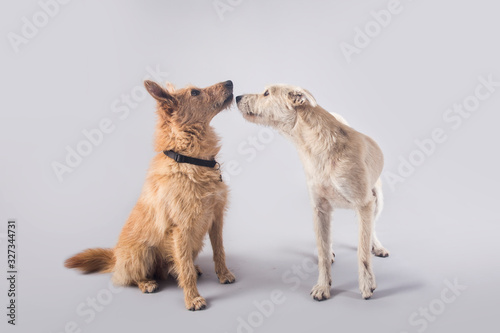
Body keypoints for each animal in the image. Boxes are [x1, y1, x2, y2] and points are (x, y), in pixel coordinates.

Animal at [65, 79, 235, 310]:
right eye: (195, 92)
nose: (230, 82)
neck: (190, 159)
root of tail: (115, 256)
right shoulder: (181, 228)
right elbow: (185, 268)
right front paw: (192, 298)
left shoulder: (216, 217)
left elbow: (219, 250)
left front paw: (224, 274)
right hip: (141, 253)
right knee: (128, 277)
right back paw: (146, 283)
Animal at [236, 84, 388, 300]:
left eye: (266, 93)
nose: (237, 97)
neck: (316, 147)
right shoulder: (319, 208)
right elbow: (322, 252)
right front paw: (323, 286)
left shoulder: (364, 204)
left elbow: (363, 251)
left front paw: (367, 284)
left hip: (378, 200)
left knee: (372, 227)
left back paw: (377, 246)